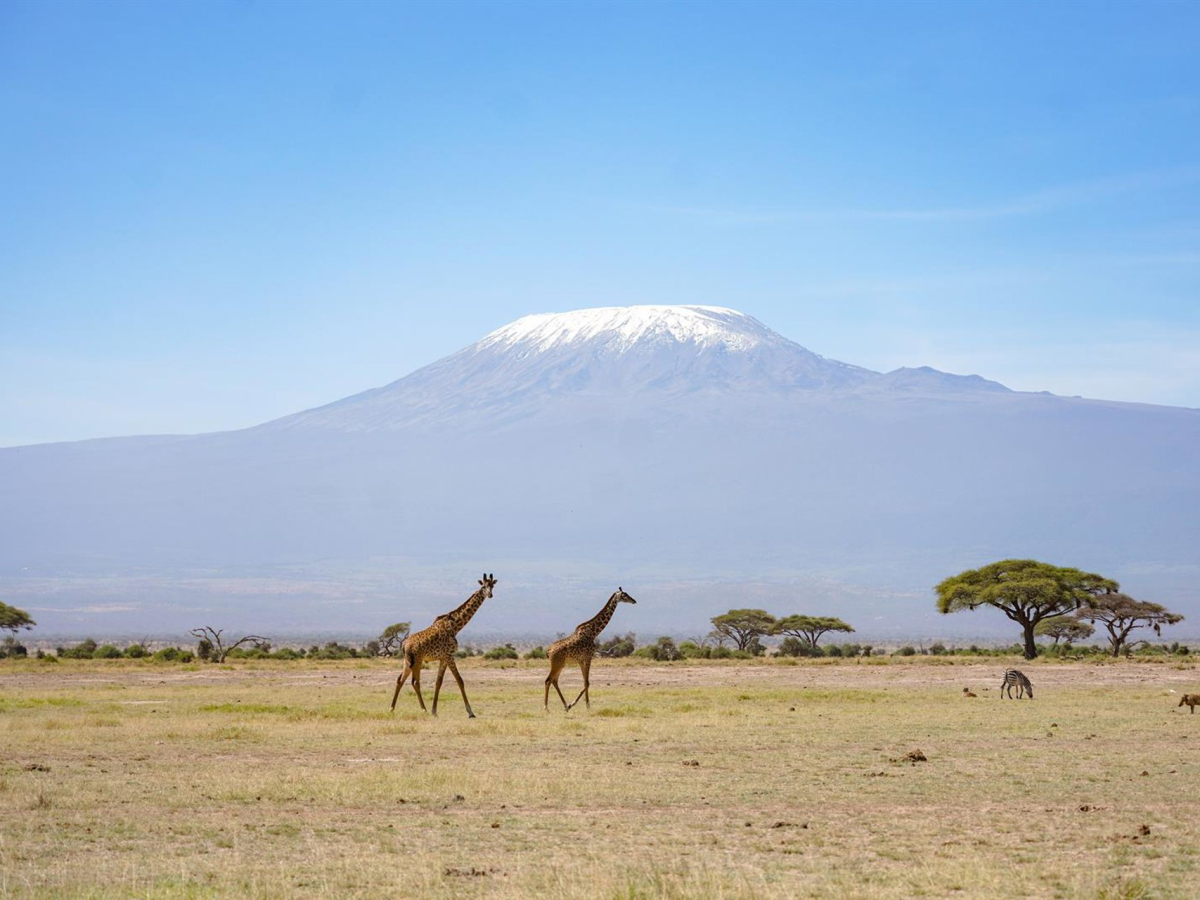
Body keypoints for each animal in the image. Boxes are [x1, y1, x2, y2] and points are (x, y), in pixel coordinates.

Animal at [390, 574, 496, 718]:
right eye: (483, 586)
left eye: (492, 586)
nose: (490, 595)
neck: (456, 626)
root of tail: (404, 644)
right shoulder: (450, 655)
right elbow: (460, 680)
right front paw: (470, 712)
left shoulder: (443, 658)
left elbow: (438, 682)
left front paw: (434, 710)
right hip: (417, 661)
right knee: (415, 682)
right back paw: (423, 709)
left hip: (407, 661)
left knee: (400, 680)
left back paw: (392, 708)